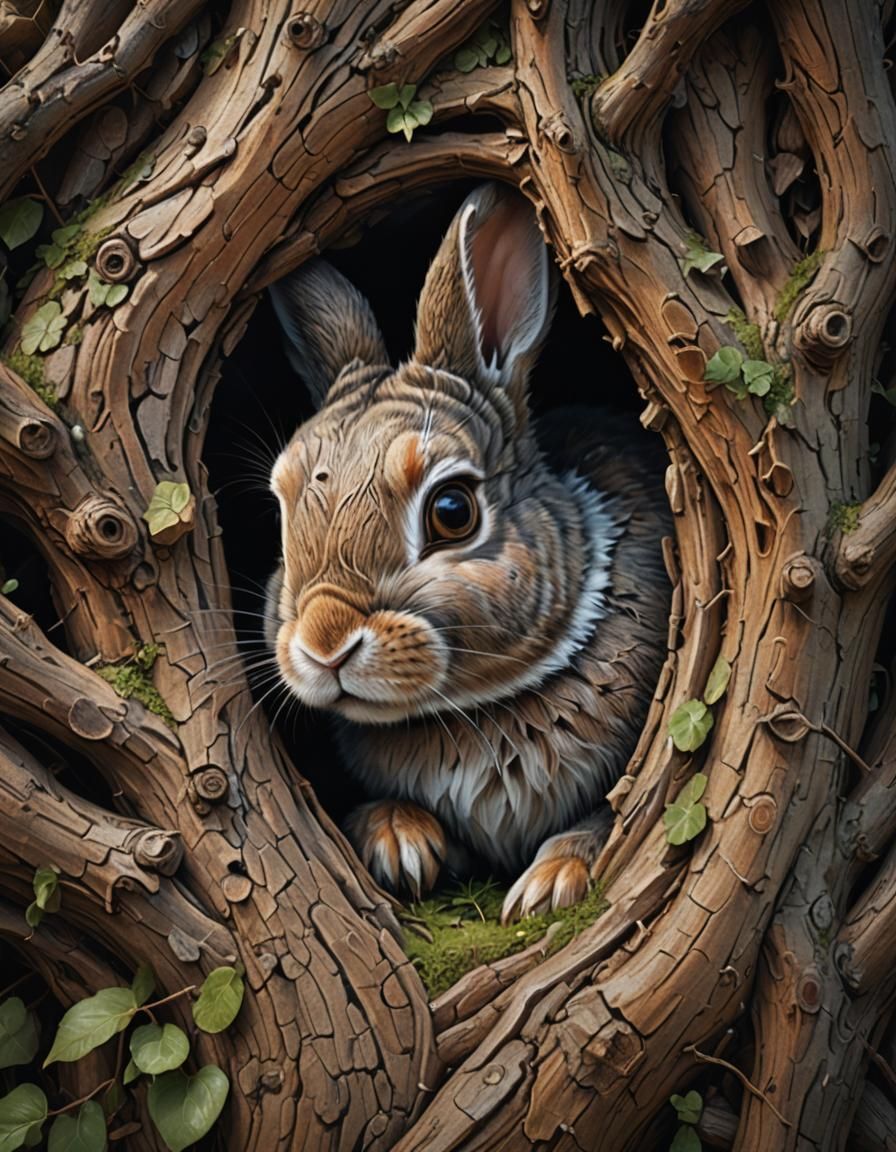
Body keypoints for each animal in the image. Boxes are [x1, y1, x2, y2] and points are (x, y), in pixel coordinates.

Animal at [264, 183, 671, 922]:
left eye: (452, 511)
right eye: (280, 507)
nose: (325, 643)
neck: (476, 705)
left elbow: (604, 819)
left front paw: (549, 886)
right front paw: (400, 843)